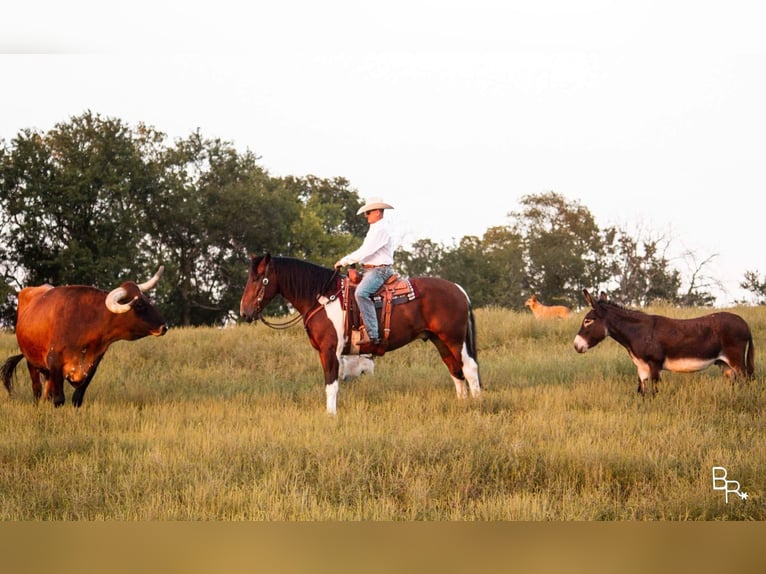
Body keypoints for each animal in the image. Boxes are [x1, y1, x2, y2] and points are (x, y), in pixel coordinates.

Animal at [0, 268, 168, 408]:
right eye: (139, 305)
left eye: (147, 299)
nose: (164, 327)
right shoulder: (55, 364)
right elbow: (59, 399)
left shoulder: (92, 365)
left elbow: (77, 399)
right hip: (32, 363)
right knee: (37, 391)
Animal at [242, 255, 480, 414]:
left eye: (259, 279)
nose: (244, 312)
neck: (322, 297)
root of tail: (459, 289)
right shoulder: (324, 352)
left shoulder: (331, 350)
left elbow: (331, 385)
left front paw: (331, 416)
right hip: (440, 341)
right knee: (455, 371)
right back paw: (463, 405)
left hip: (455, 340)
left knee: (469, 369)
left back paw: (477, 404)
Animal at [576, 292, 756, 396]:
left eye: (588, 321)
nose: (576, 346)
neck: (638, 332)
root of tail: (745, 324)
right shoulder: (641, 367)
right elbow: (641, 393)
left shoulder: (654, 364)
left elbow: (655, 391)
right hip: (724, 364)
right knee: (736, 383)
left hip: (735, 359)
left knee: (746, 380)